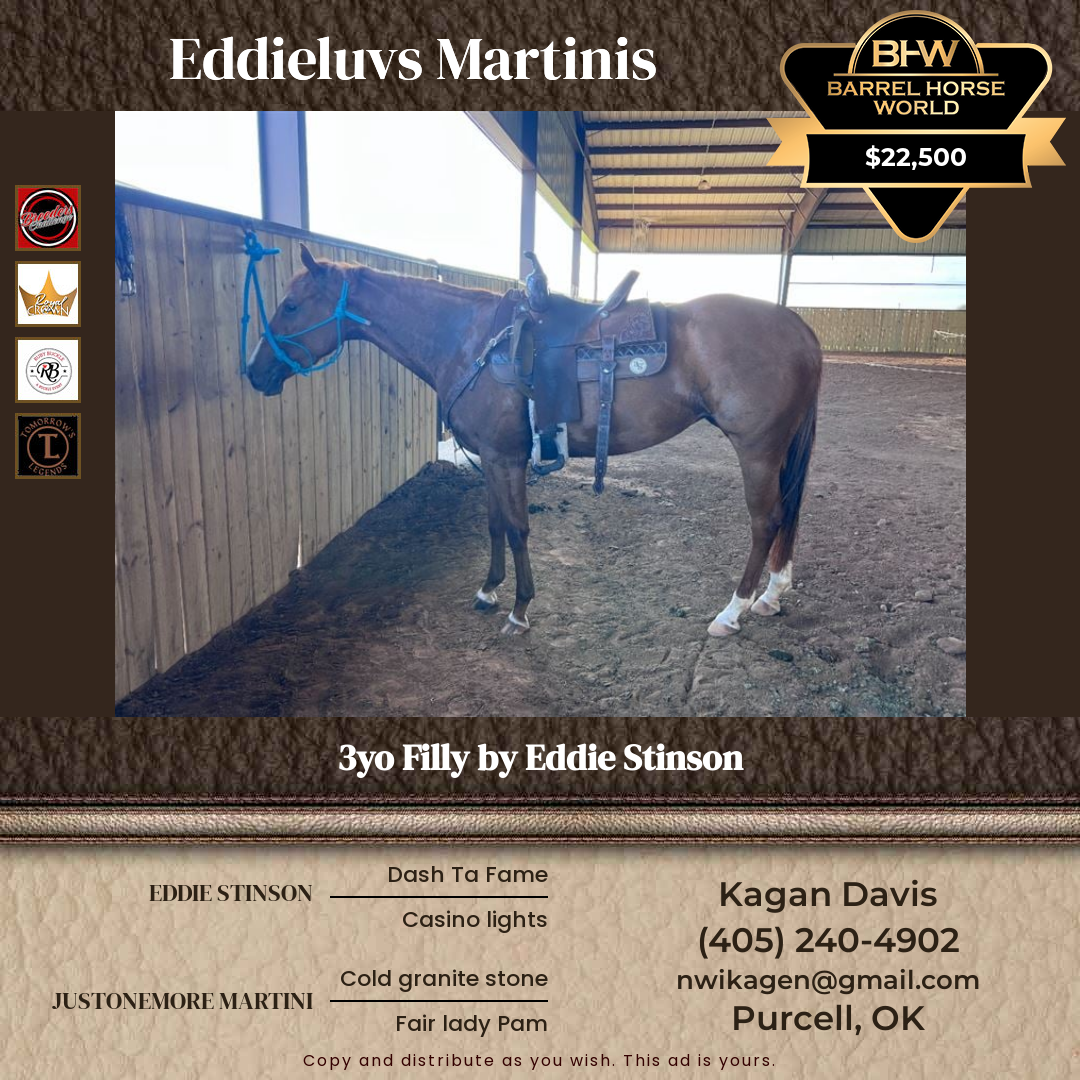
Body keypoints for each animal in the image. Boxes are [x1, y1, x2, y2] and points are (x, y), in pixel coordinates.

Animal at [246, 244, 821, 639]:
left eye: (292, 305)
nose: (255, 371)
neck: (472, 342)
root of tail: (798, 327)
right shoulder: (490, 457)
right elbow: (495, 523)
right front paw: (488, 589)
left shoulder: (506, 457)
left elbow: (520, 527)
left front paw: (520, 609)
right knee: (788, 516)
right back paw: (772, 595)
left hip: (758, 450)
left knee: (765, 522)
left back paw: (732, 610)